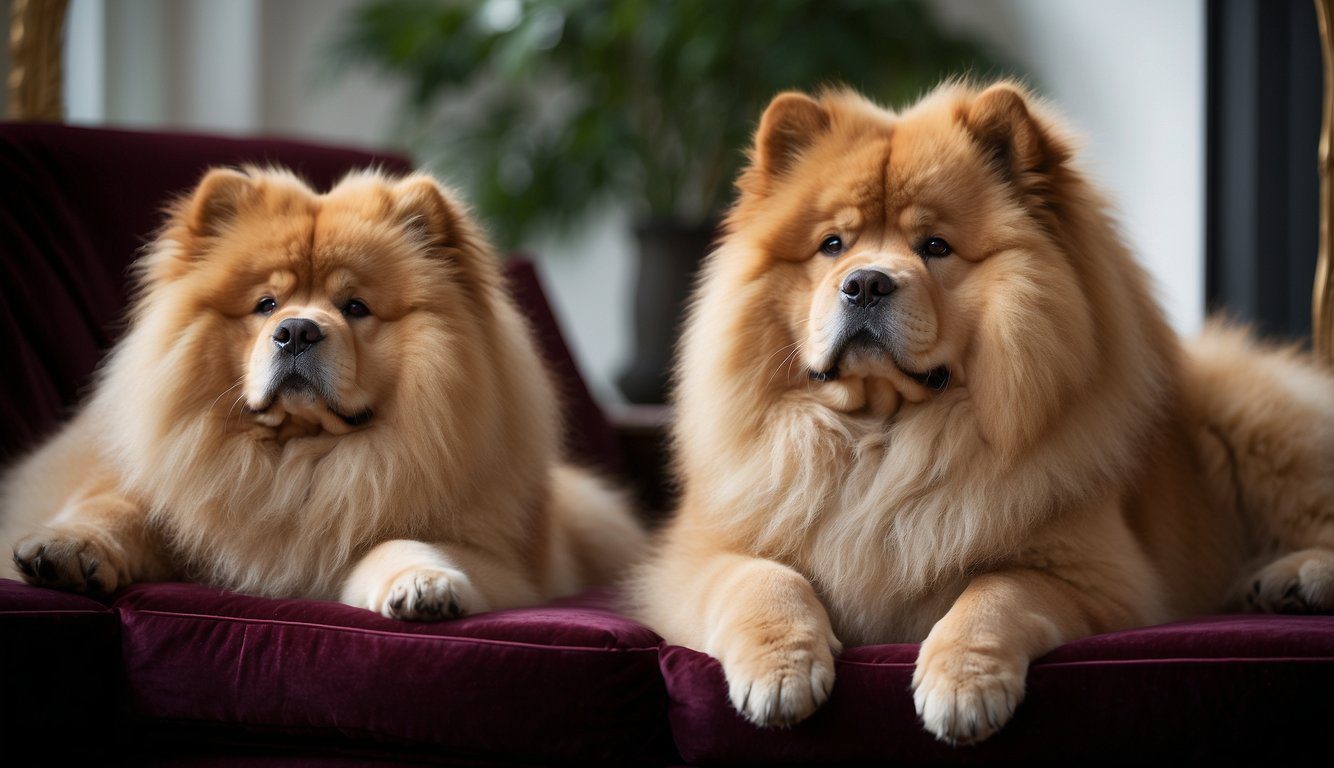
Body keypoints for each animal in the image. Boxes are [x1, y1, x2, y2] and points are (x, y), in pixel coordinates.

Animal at [0, 166, 645, 618]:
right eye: (266, 304)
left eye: (354, 307)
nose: (296, 331)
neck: (300, 460)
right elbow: (115, 509)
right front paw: (63, 551)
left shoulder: (491, 557)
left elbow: (405, 544)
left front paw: (423, 585)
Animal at [632, 82, 1334, 746]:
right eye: (832, 244)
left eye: (935, 246)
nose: (865, 282)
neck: (884, 437)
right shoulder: (694, 559)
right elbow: (763, 579)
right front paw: (781, 673)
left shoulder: (1096, 577)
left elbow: (997, 592)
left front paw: (961, 685)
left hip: (1252, 413)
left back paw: (1296, 577)